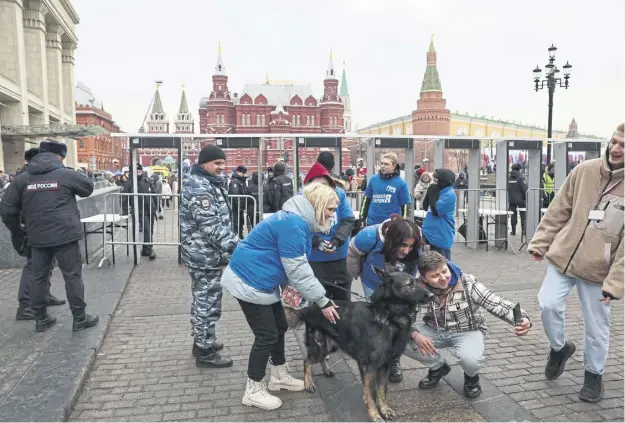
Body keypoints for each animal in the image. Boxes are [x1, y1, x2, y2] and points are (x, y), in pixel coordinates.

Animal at [286, 270, 432, 422]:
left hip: (330, 346)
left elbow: (381, 391)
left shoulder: (385, 365)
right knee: (307, 361)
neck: (388, 315)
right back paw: (308, 383)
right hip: (319, 346)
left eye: (418, 281)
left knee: (319, 359)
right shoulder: (369, 367)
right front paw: (374, 414)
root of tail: (311, 307)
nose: (432, 295)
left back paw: (326, 371)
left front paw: (384, 410)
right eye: (409, 284)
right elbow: (371, 393)